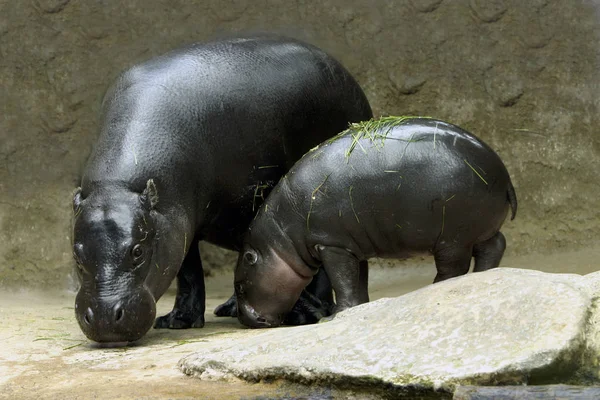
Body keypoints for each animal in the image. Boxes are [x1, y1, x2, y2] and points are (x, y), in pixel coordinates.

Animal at [70, 33, 370, 344]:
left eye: (138, 251)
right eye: (76, 255)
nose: (104, 318)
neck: (117, 187)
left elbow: (272, 255)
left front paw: (296, 314)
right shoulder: (176, 224)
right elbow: (189, 272)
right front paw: (179, 321)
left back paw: (313, 308)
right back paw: (229, 308)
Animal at [234, 115, 516, 328]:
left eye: (239, 286)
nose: (246, 320)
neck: (280, 241)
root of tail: (505, 177)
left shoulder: (331, 244)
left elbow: (342, 281)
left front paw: (333, 316)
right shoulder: (353, 247)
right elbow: (357, 281)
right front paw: (359, 308)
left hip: (452, 237)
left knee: (453, 267)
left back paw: (433, 287)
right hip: (479, 228)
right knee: (494, 246)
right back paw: (483, 275)